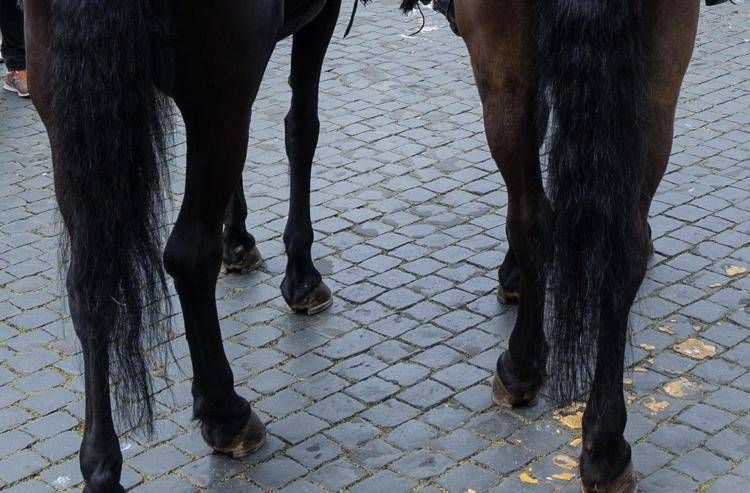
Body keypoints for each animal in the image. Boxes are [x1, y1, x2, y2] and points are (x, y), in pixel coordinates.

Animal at [24, 1, 369, 491]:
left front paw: (237, 241)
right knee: (187, 257)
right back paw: (225, 412)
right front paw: (301, 276)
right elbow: (301, 130)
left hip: (69, 116)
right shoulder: (315, 21)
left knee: (88, 287)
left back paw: (100, 464)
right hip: (218, 91)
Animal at [398, 0, 728, 491]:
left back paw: (521, 366)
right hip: (662, 62)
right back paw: (605, 445)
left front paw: (514, 277)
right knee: (623, 249)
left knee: (532, 218)